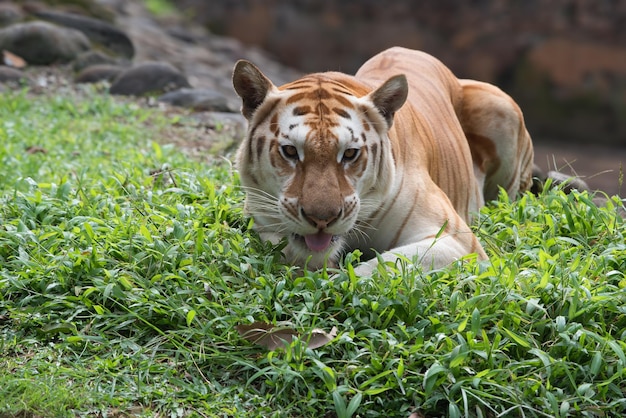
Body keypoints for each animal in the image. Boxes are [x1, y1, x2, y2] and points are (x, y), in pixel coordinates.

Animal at [230, 46, 532, 274]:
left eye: (349, 153)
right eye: (290, 151)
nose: (322, 220)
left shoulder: (455, 240)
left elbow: (380, 267)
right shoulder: (263, 220)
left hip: (501, 109)